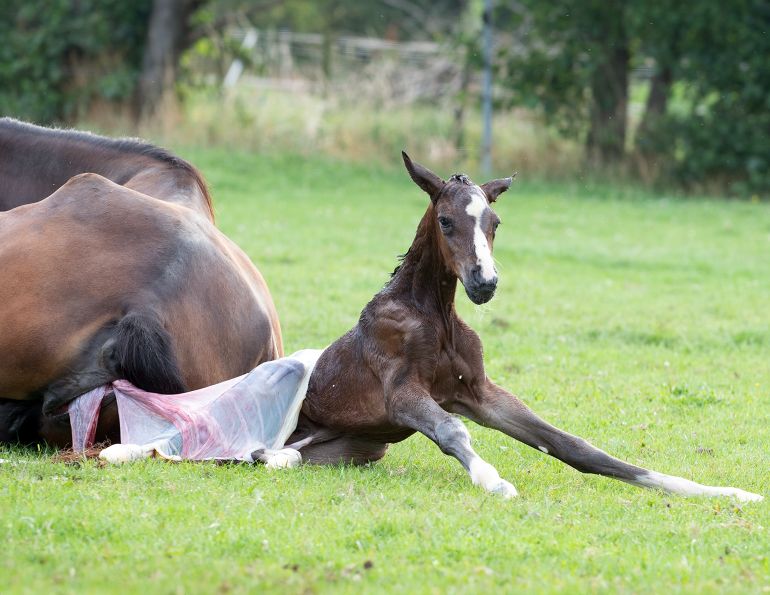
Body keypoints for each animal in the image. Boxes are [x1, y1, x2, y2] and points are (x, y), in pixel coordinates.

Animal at [286, 152, 762, 502]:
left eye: (494, 223)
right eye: (445, 221)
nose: (484, 283)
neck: (433, 315)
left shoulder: (480, 394)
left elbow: (576, 447)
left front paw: (726, 492)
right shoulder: (401, 393)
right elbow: (451, 429)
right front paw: (494, 481)